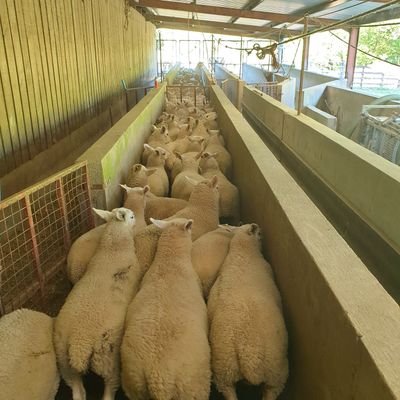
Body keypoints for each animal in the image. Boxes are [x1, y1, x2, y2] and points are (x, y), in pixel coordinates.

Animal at [54, 208, 142, 400]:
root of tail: (79, 344)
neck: (113, 248)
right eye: (131, 216)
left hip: (64, 362)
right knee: (109, 388)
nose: (137, 221)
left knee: (78, 391)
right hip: (108, 359)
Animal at [208, 225, 290, 400]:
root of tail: (249, 359)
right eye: (258, 233)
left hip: (224, 374)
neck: (243, 253)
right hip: (276, 376)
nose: (260, 229)